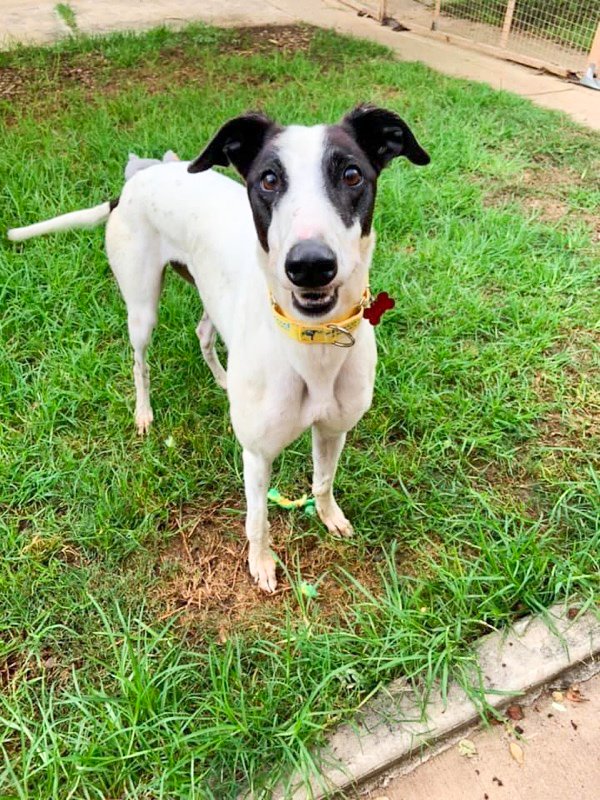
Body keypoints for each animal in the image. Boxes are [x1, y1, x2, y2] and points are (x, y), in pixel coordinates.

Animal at [9, 104, 432, 592]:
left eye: (351, 174)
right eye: (268, 179)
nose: (309, 265)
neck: (313, 348)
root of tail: (137, 180)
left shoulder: (334, 429)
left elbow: (323, 481)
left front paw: (330, 518)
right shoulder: (257, 454)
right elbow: (258, 519)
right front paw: (262, 564)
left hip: (210, 295)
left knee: (203, 332)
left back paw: (223, 379)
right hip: (141, 307)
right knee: (139, 361)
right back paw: (144, 413)